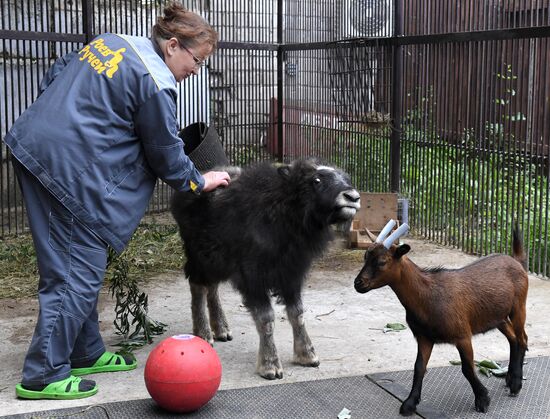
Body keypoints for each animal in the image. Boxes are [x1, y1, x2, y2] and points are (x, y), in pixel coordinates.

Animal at [172, 159, 362, 378]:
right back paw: (203, 334)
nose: (352, 197)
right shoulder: (253, 277)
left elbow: (297, 314)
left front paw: (307, 356)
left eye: (345, 178)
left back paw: (222, 330)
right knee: (198, 287)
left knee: (212, 288)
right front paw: (270, 365)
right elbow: (266, 318)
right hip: (200, 257)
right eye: (316, 180)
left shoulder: (292, 275)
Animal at [354, 223, 532, 416]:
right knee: (513, 339)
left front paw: (482, 400)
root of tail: (516, 261)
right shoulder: (424, 337)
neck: (428, 295)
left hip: (518, 306)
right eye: (365, 256)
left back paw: (516, 384)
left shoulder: (462, 335)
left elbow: (467, 368)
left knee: (522, 339)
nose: (358, 283)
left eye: (382, 261)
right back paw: (509, 378)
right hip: (498, 317)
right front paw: (409, 403)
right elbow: (419, 368)